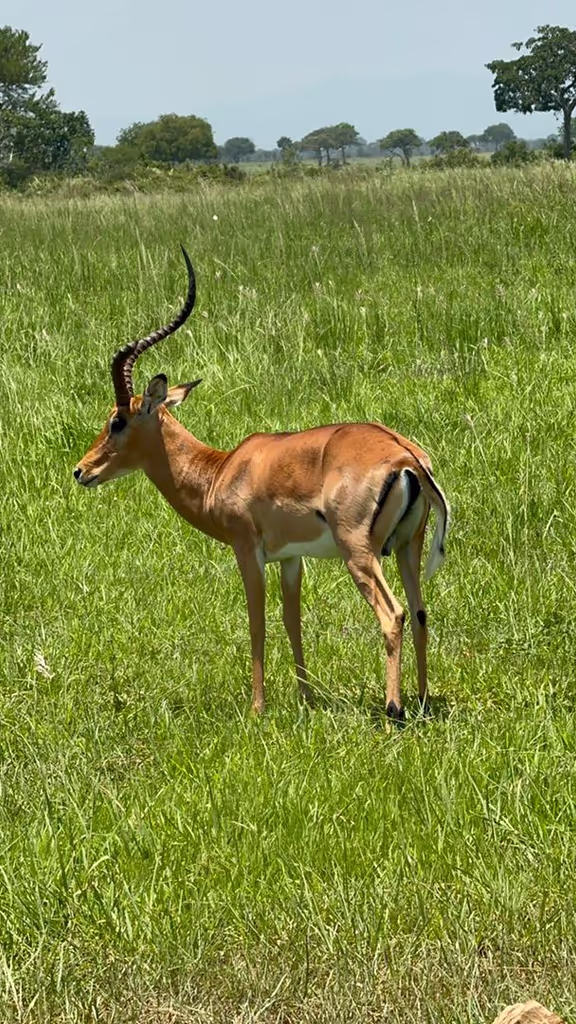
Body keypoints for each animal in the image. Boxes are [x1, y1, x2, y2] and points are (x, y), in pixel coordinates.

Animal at [74, 248, 449, 720]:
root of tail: (406, 457)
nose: (81, 470)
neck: (222, 471)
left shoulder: (247, 550)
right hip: (406, 548)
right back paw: (421, 702)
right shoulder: (290, 559)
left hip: (359, 552)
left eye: (117, 421)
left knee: (393, 614)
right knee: (419, 613)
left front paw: (257, 708)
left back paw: (393, 710)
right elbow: (292, 621)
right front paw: (307, 700)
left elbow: (257, 621)